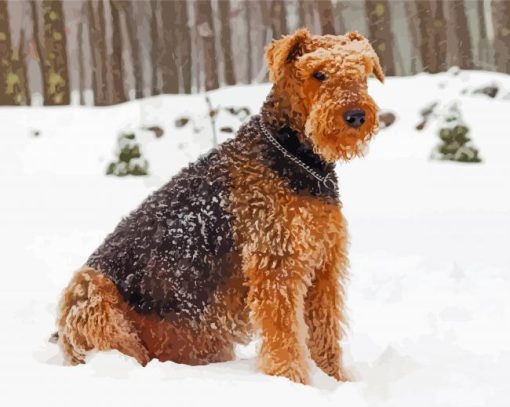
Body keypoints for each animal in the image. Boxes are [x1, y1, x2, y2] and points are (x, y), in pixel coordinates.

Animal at [55, 28, 382, 386]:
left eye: (362, 72)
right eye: (318, 73)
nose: (356, 116)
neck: (294, 157)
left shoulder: (323, 267)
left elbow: (324, 334)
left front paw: (335, 380)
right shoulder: (276, 265)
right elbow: (285, 340)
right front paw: (292, 384)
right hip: (91, 292)